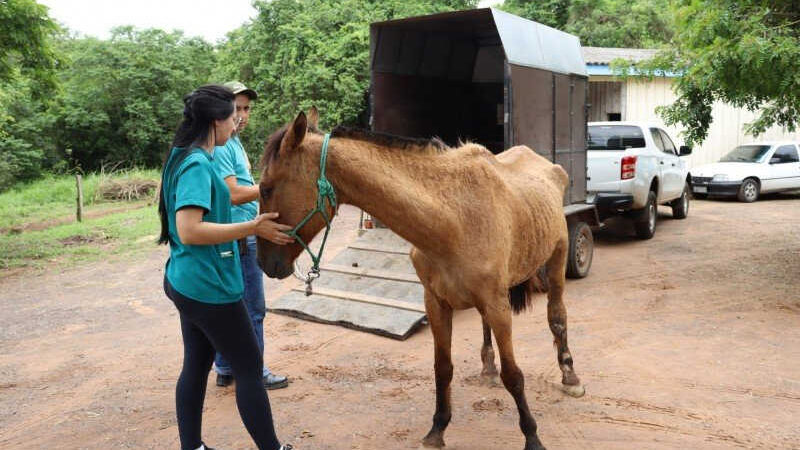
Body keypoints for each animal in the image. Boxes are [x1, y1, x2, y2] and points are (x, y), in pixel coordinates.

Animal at [260, 110, 584, 450]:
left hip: (557, 258)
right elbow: (442, 368)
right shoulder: (437, 303)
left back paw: (570, 376)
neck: (452, 221)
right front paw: (437, 429)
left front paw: (532, 436)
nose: (264, 263)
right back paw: (487, 369)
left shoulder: (497, 304)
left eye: (266, 188)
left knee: (557, 316)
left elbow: (514, 375)